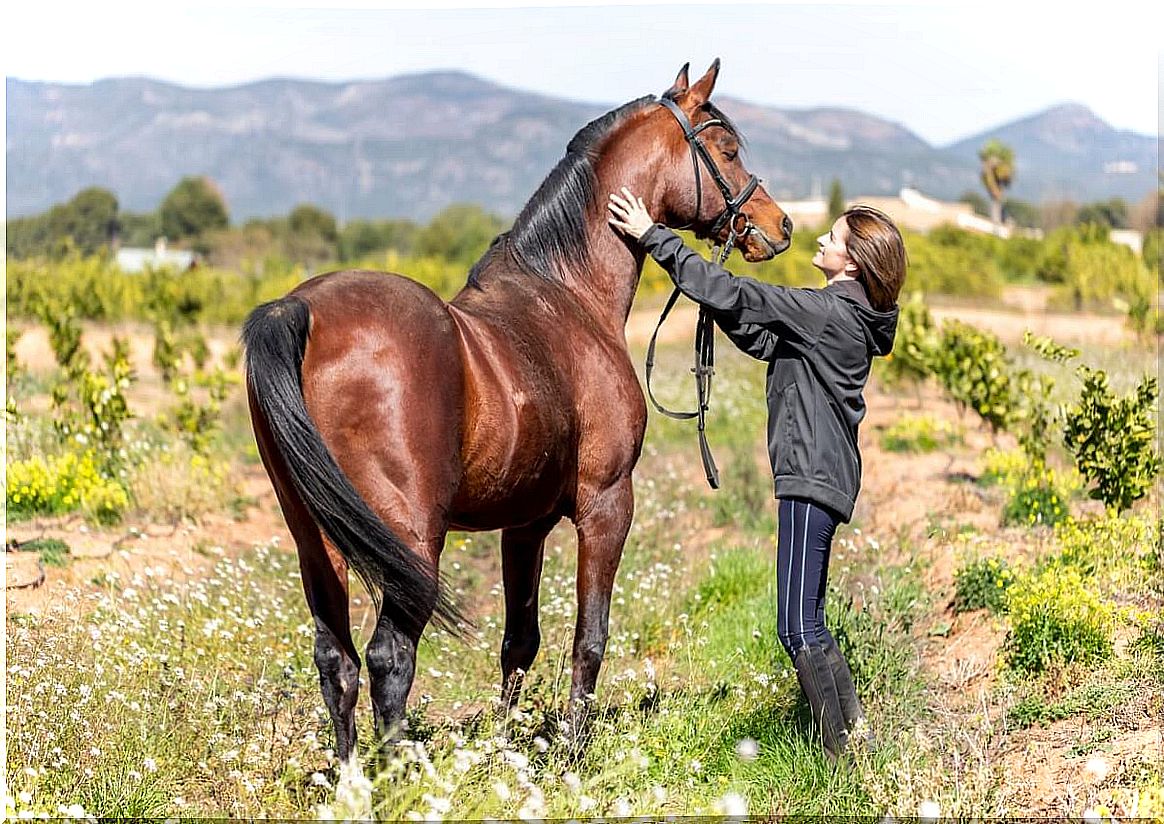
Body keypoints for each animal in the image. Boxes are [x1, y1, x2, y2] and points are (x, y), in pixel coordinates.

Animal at [242, 59, 796, 772]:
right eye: (725, 149)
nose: (779, 226)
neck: (569, 296)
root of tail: (297, 312)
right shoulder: (606, 504)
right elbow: (590, 635)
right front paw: (572, 751)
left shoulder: (524, 523)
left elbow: (519, 642)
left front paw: (509, 750)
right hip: (410, 539)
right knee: (390, 656)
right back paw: (401, 777)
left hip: (317, 537)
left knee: (335, 659)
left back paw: (352, 780)